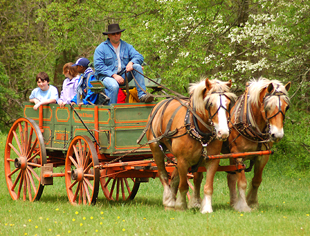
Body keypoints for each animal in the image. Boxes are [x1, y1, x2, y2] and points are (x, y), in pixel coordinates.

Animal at [147, 78, 236, 213]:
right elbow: (183, 185)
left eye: (228, 103)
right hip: (157, 149)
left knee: (178, 177)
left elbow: (207, 186)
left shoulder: (212, 160)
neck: (199, 131)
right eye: (210, 103)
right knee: (163, 174)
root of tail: (159, 103)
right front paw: (180, 206)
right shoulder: (182, 160)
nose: (223, 132)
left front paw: (206, 208)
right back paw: (169, 201)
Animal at [220, 77, 290, 212]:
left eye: (287, 107)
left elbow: (257, 180)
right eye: (268, 106)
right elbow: (242, 182)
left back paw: (233, 203)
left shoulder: (263, 156)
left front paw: (252, 202)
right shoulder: (238, 154)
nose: (277, 135)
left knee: (231, 177)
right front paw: (243, 206)